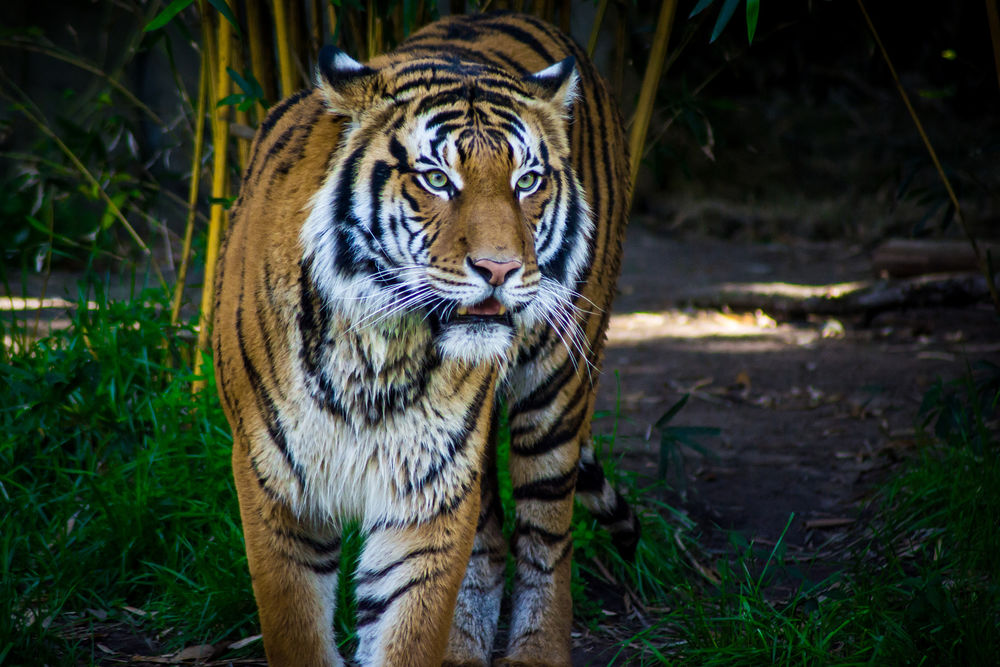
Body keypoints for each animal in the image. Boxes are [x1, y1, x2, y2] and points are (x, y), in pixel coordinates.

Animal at [212, 11, 638, 667]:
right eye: (437, 179)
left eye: (527, 181)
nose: (500, 268)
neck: (377, 344)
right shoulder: (275, 483)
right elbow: (296, 628)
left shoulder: (426, 493)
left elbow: (410, 624)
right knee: (491, 538)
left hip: (556, 386)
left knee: (546, 536)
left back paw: (536, 649)